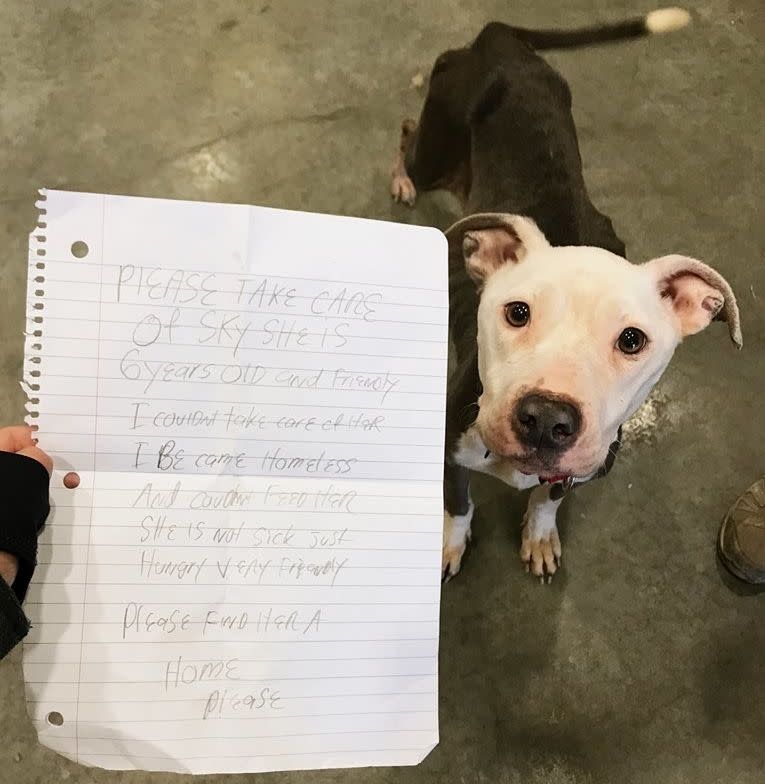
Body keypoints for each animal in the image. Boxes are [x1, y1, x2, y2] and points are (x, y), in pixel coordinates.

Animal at [388, 7, 740, 580]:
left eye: (632, 340)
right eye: (517, 312)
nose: (547, 420)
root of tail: (497, 37)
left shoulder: (577, 470)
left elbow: (548, 497)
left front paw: (539, 533)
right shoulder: (449, 451)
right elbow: (457, 504)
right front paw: (447, 545)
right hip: (436, 146)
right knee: (407, 136)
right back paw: (401, 180)